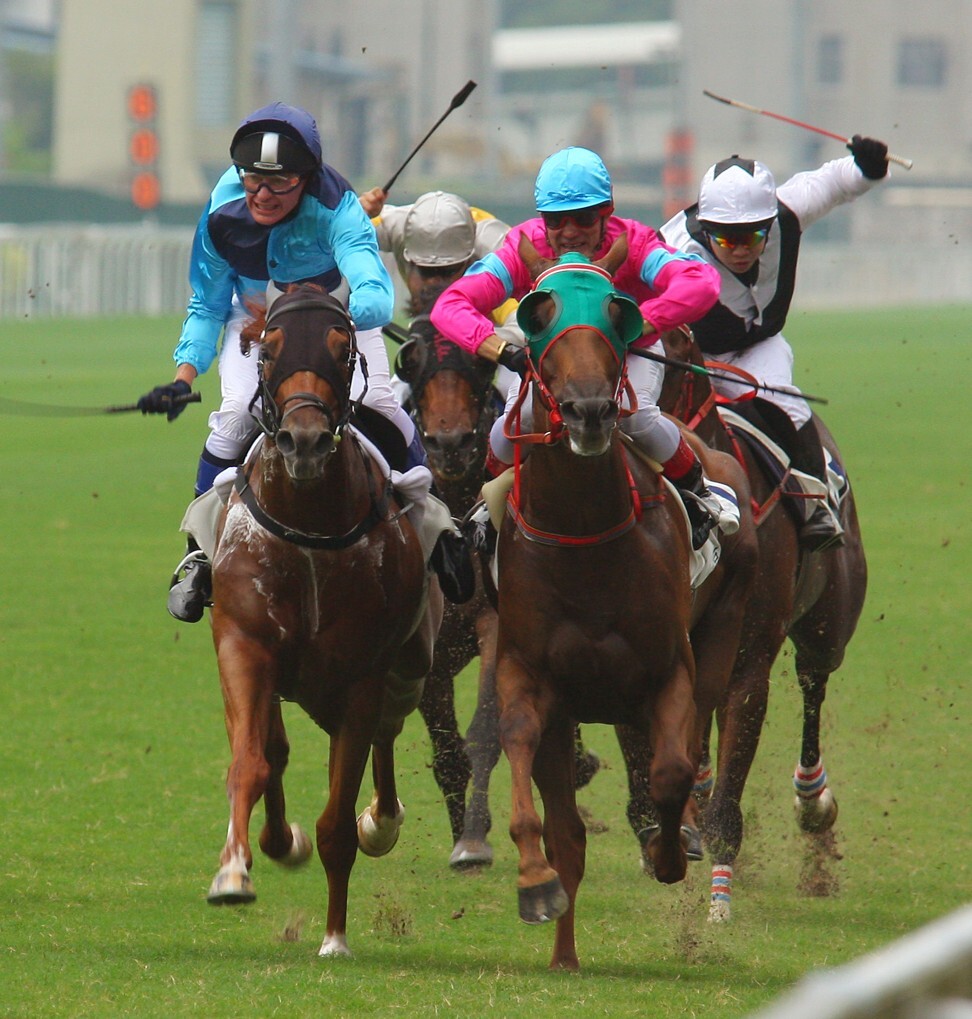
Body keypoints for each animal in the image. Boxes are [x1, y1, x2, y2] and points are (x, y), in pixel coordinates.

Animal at [204, 285, 440, 953]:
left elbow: (338, 819)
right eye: (268, 351)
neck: (309, 529)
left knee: (387, 730)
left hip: (409, 665)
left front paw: (335, 935)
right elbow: (251, 761)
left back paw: (382, 821)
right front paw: (234, 870)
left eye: (342, 349)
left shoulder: (362, 674)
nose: (304, 440)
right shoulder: (243, 644)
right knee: (278, 748)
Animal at [493, 240, 749, 970]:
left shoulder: (668, 671)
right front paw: (534, 883)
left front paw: (670, 853)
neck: (584, 534)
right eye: (537, 314)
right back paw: (564, 952)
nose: (588, 411)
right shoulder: (530, 673)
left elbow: (670, 771)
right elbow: (523, 759)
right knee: (569, 832)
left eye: (619, 312)